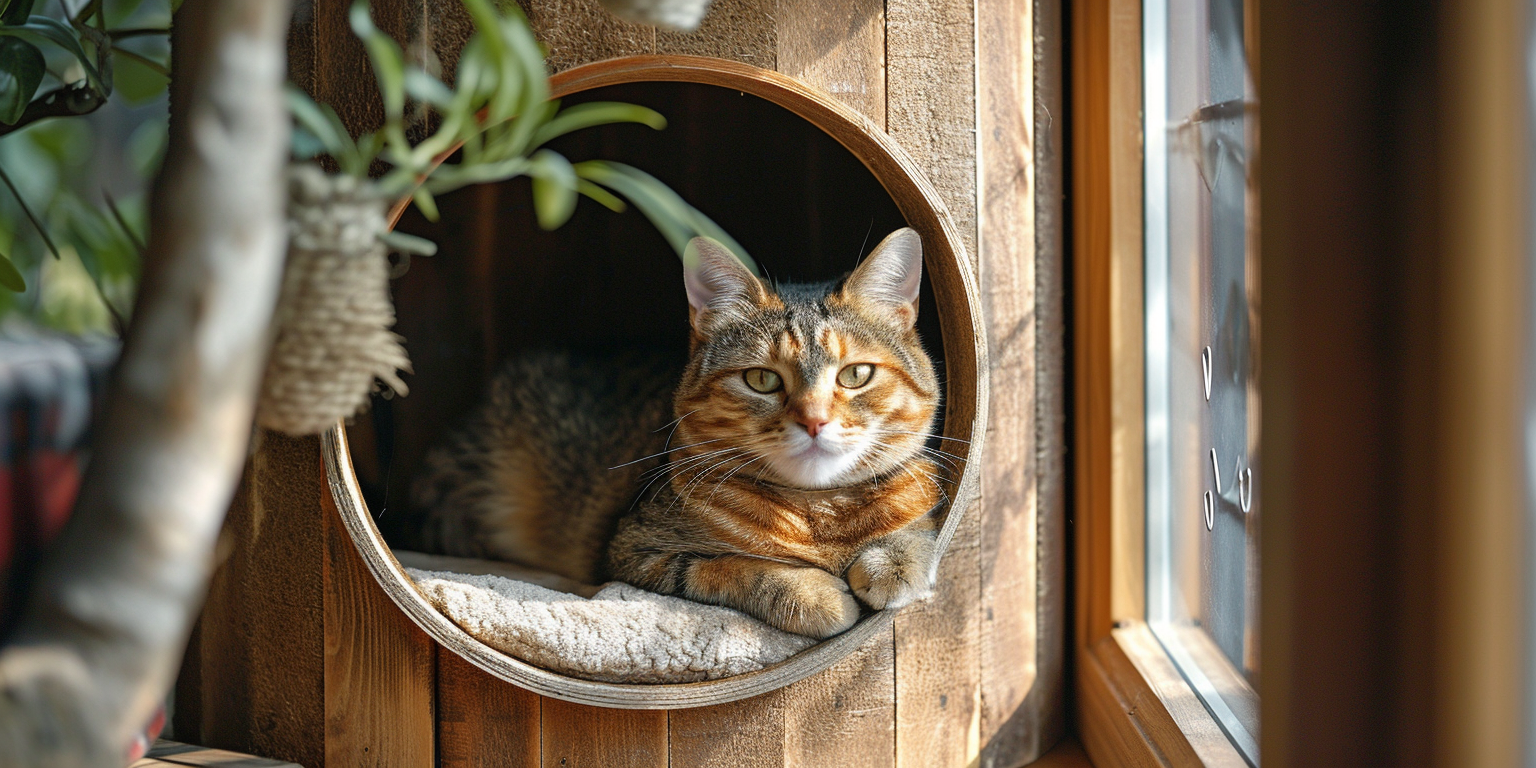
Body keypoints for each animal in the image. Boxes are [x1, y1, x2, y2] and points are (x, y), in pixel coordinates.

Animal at [420, 228, 946, 642]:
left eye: (855, 374)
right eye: (762, 379)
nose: (814, 420)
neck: (818, 512)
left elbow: (916, 527)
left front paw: (896, 561)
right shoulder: (635, 550)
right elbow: (733, 568)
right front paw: (814, 594)